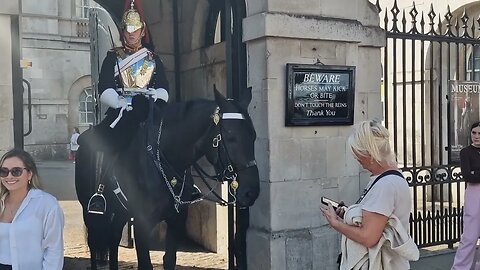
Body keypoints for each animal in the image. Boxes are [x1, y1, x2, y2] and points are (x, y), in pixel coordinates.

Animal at [74, 87, 260, 268]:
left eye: (254, 136)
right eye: (231, 137)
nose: (251, 192)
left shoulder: (176, 222)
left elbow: (169, 259)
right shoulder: (142, 225)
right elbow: (145, 263)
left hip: (120, 212)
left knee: (113, 241)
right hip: (90, 213)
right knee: (94, 243)